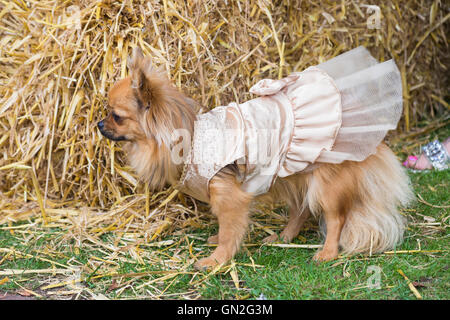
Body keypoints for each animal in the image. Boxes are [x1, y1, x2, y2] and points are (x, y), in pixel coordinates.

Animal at [98, 48, 414, 270]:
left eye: (116, 116)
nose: (99, 124)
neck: (192, 138)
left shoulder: (229, 197)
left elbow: (229, 230)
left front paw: (216, 260)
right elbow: (224, 227)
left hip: (325, 185)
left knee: (336, 218)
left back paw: (327, 252)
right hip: (293, 174)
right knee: (300, 210)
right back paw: (284, 237)